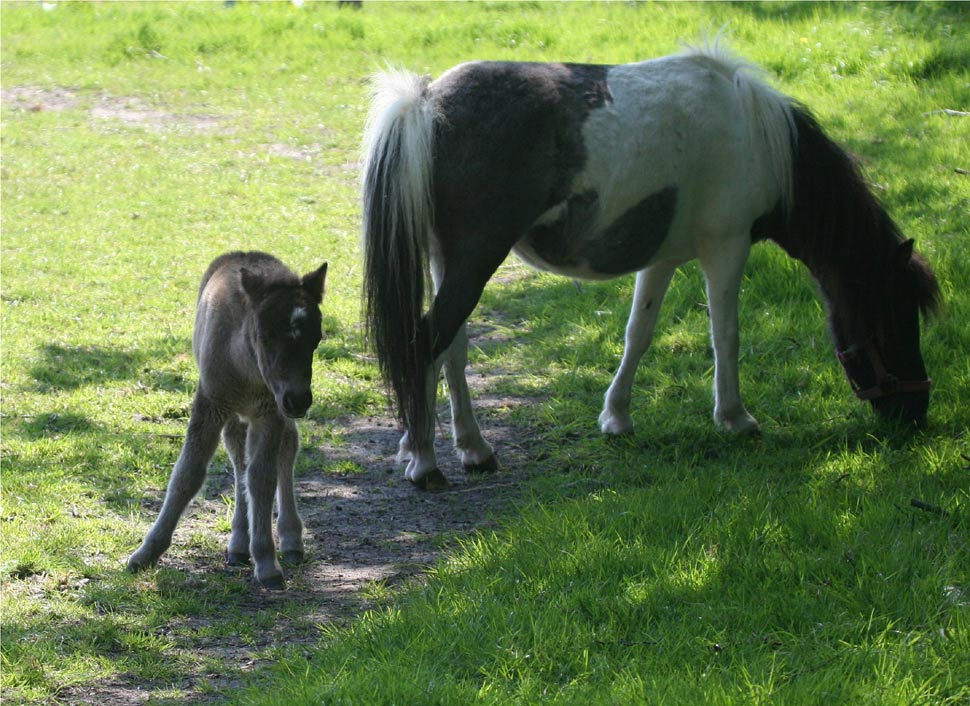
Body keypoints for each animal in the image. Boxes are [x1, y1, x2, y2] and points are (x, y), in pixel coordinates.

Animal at [129, 250, 328, 584]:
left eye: (317, 338)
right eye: (264, 335)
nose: (299, 399)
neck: (247, 370)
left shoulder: (271, 413)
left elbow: (262, 478)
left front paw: (267, 562)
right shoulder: (210, 405)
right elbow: (188, 474)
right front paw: (146, 552)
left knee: (286, 450)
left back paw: (290, 540)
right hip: (240, 413)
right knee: (238, 457)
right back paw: (238, 545)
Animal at [360, 42, 932, 484]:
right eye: (895, 320)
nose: (916, 417)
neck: (759, 139)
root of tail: (426, 102)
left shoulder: (663, 259)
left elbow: (639, 333)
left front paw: (616, 418)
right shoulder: (727, 247)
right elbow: (726, 334)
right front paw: (736, 419)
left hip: (449, 263)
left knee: (450, 352)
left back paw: (473, 450)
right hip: (473, 262)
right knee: (427, 345)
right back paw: (425, 463)